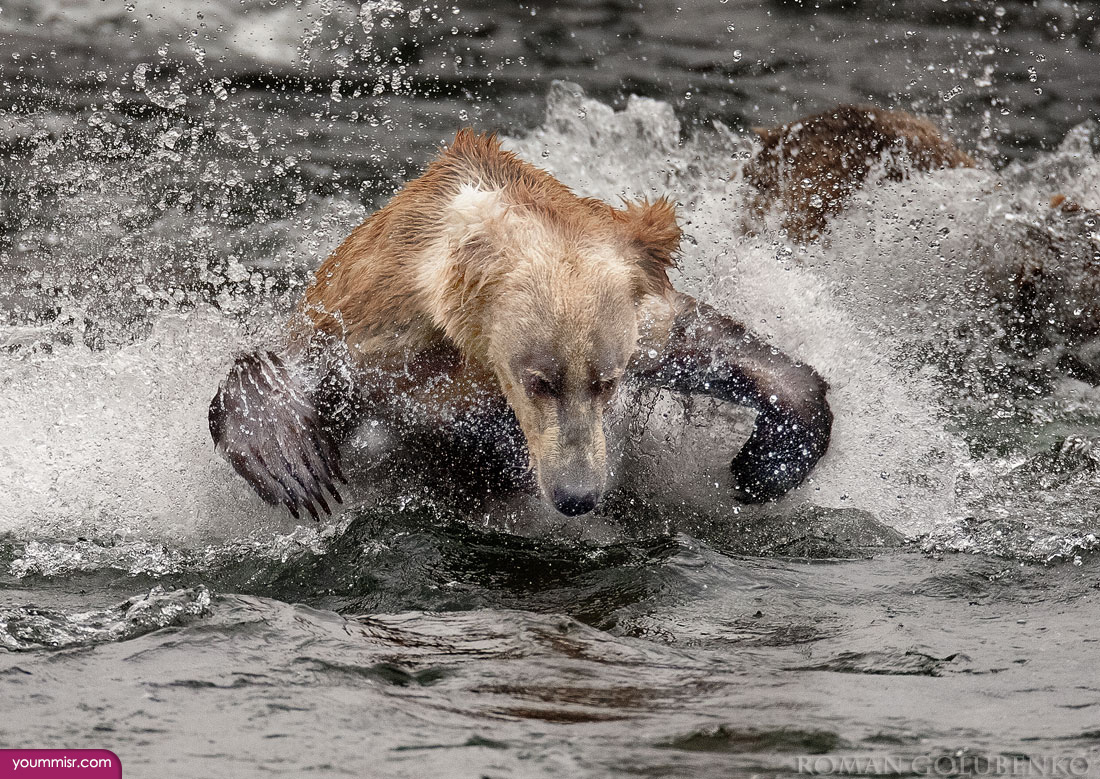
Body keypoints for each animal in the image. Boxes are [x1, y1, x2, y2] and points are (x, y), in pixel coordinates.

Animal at [209, 130, 833, 520]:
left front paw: (763, 466)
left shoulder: (639, 320)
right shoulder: (378, 337)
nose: (577, 494)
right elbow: (291, 365)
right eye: (539, 381)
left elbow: (709, 343)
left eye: (606, 381)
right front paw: (290, 460)